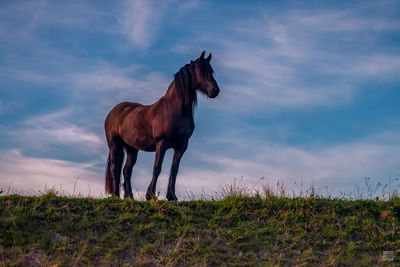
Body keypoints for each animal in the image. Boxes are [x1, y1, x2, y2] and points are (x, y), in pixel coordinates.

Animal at [104, 51, 220, 201]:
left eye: (211, 71)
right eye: (201, 71)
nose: (215, 90)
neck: (175, 109)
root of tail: (113, 111)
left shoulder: (181, 146)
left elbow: (174, 170)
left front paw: (172, 196)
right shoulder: (162, 143)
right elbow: (157, 168)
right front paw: (150, 195)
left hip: (131, 148)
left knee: (126, 170)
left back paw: (129, 197)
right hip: (114, 144)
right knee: (115, 168)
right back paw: (116, 196)